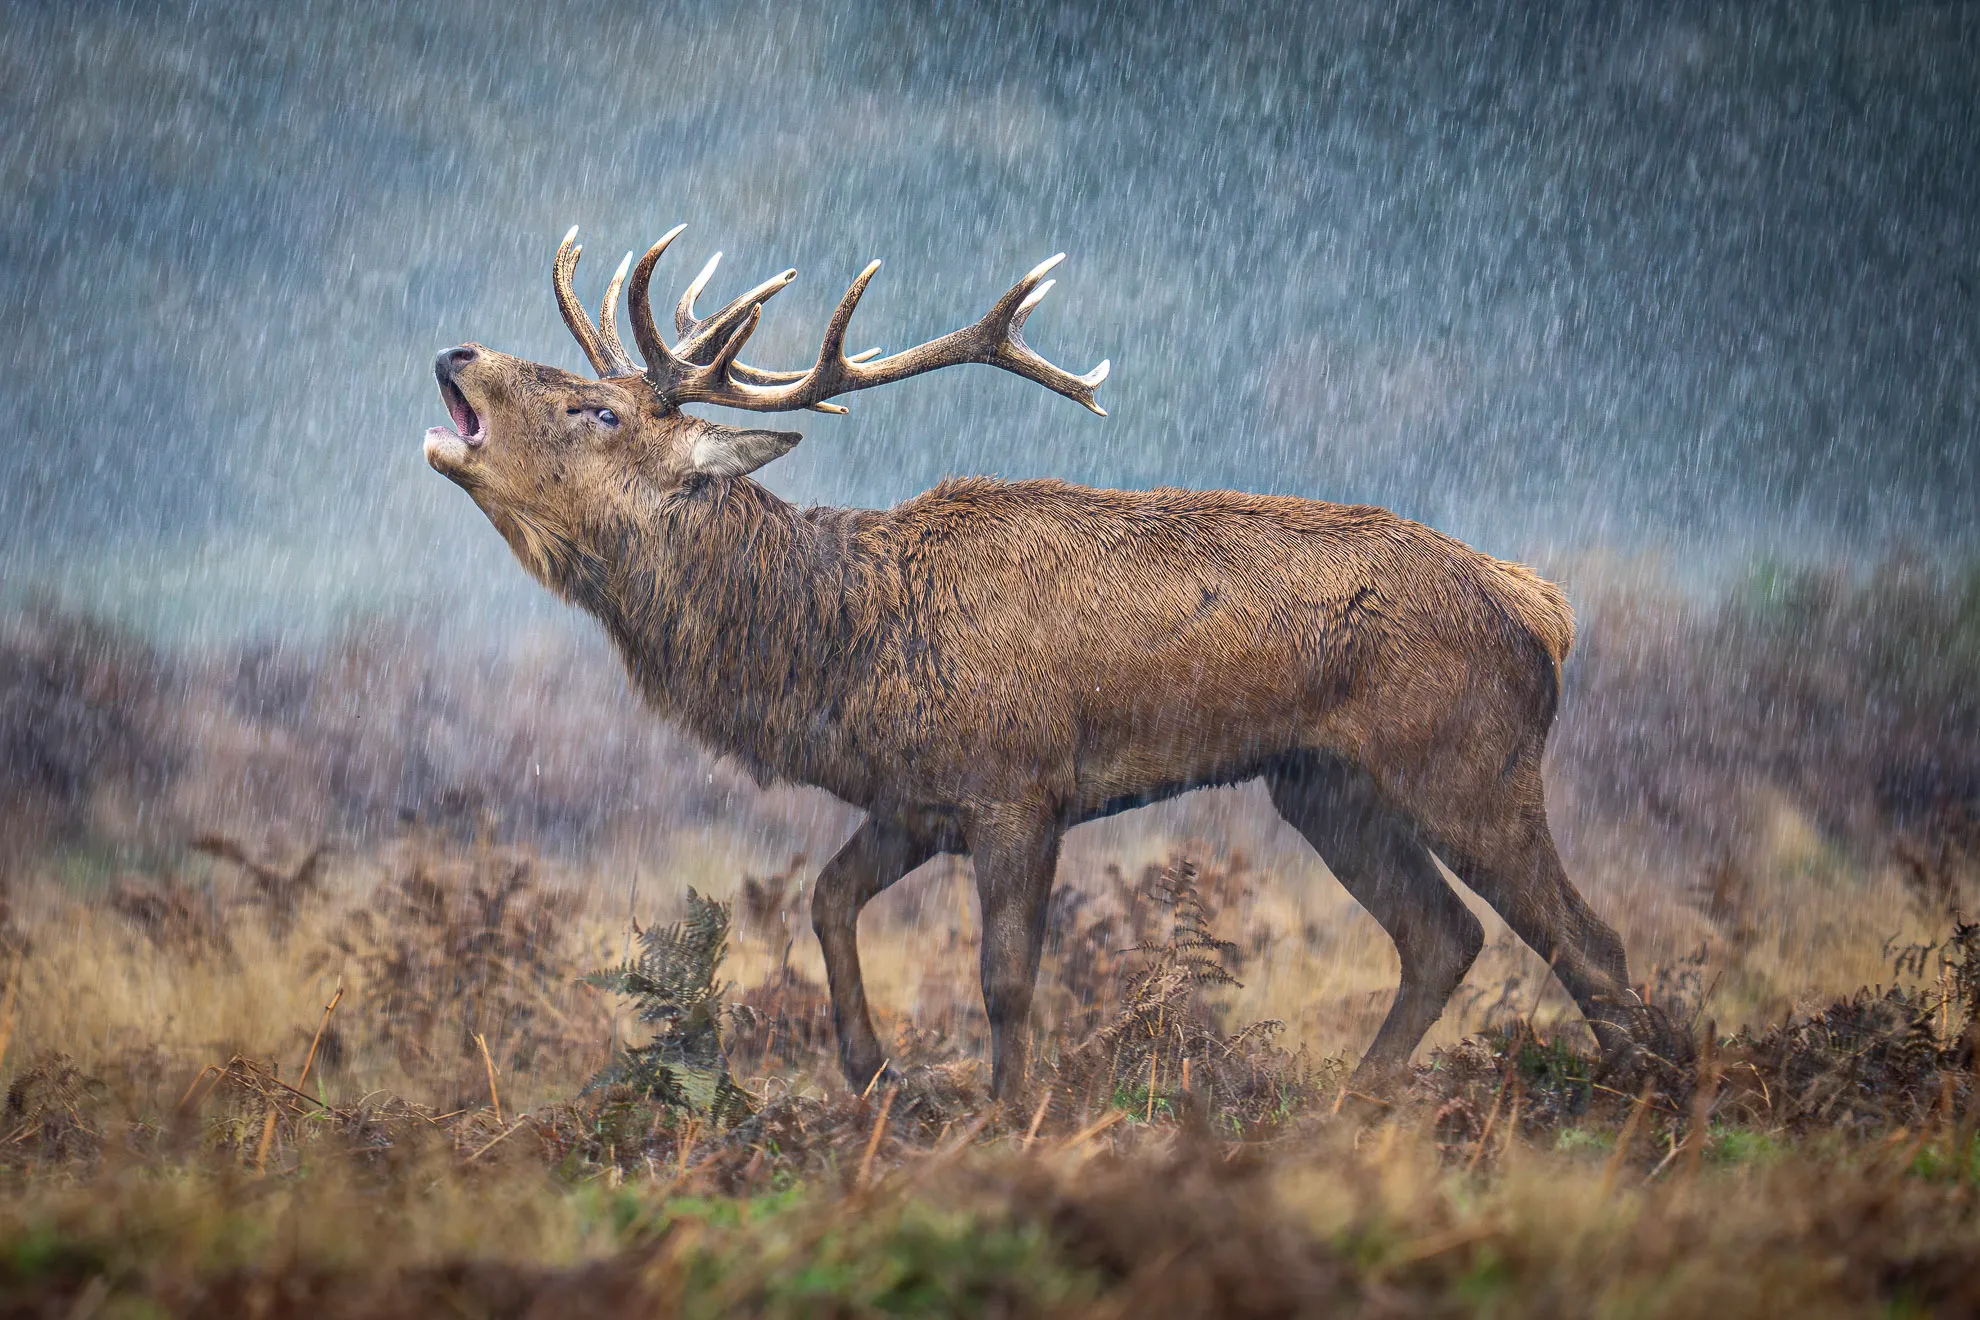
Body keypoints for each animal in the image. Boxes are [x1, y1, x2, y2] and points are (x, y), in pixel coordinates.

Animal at [424, 223, 1679, 1101]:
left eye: (598, 413)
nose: (457, 350)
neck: (844, 649)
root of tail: (1538, 603)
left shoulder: (1020, 783)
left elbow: (1007, 974)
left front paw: (1011, 1114)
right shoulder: (914, 799)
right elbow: (827, 901)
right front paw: (874, 1074)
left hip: (1466, 759)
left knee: (1587, 939)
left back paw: (1641, 1099)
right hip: (1323, 784)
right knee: (1443, 937)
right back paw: (1354, 1109)